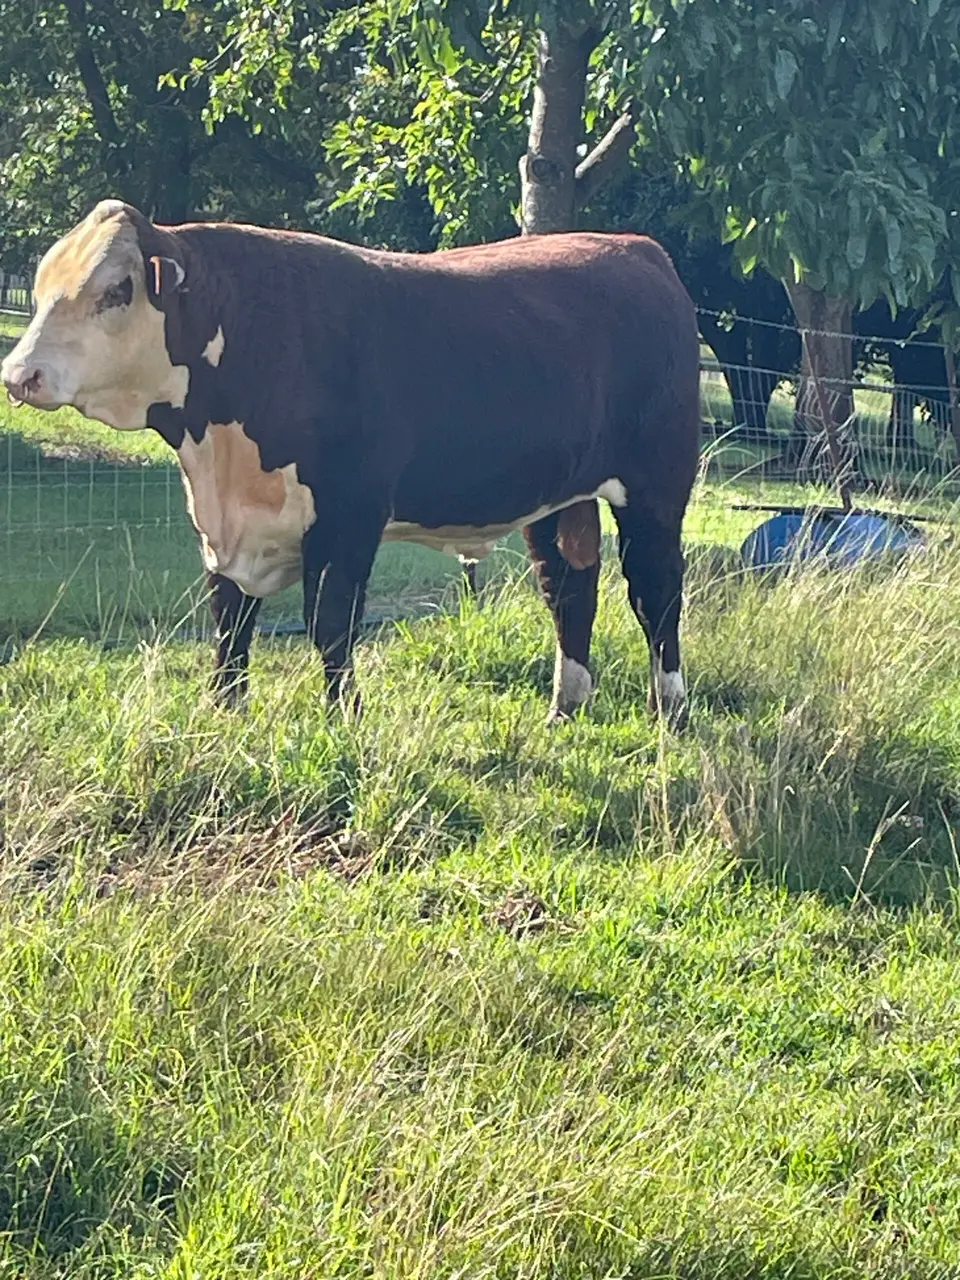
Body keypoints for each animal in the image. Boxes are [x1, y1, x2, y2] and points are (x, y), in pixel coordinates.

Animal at [1, 200, 701, 727]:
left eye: (116, 289)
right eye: (41, 290)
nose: (18, 374)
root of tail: (638, 250)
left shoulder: (348, 515)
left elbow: (330, 623)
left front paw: (344, 720)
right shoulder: (221, 526)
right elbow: (230, 625)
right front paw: (223, 715)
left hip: (657, 485)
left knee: (657, 591)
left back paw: (669, 712)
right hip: (560, 497)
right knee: (569, 587)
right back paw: (564, 709)